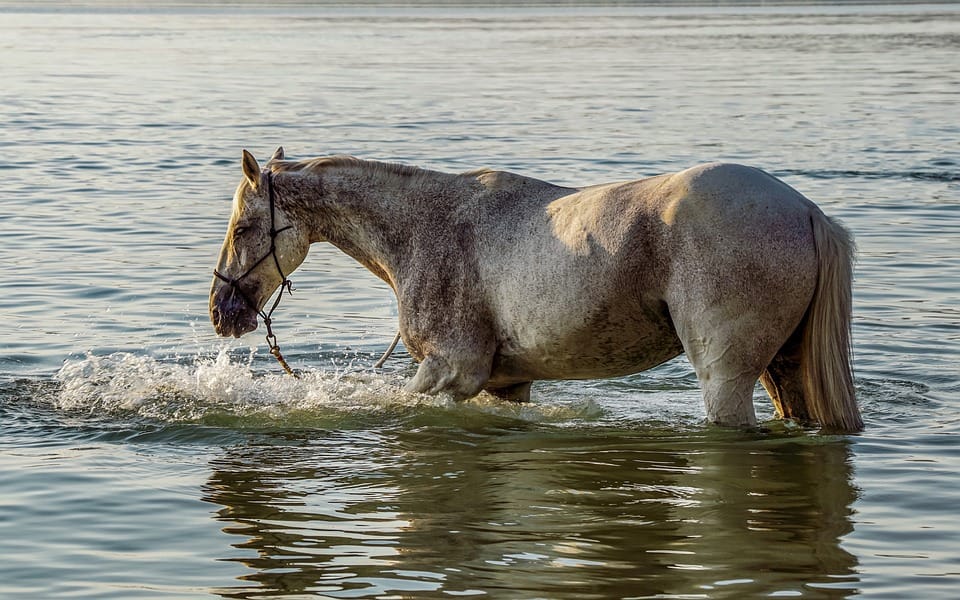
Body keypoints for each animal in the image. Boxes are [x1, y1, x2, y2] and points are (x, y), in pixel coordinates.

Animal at [210, 147, 862, 432]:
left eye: (242, 229)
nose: (222, 311)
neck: (427, 224)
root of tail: (806, 211)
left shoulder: (451, 371)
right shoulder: (505, 384)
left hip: (725, 376)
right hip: (784, 370)